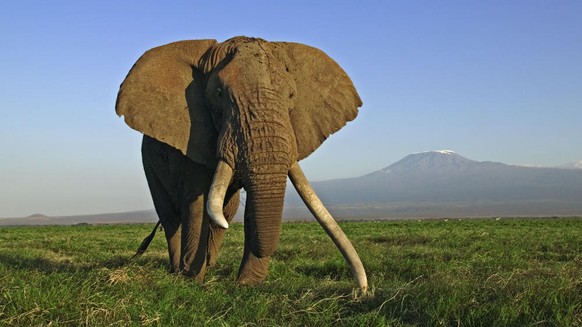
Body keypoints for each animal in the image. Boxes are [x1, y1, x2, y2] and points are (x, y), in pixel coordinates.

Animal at [116, 36, 368, 292]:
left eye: (291, 96)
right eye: (219, 94)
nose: (362, 290)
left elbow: (249, 210)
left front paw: (247, 284)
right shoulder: (193, 137)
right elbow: (196, 205)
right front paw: (192, 280)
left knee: (226, 211)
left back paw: (209, 265)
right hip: (149, 163)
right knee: (170, 217)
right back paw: (176, 270)